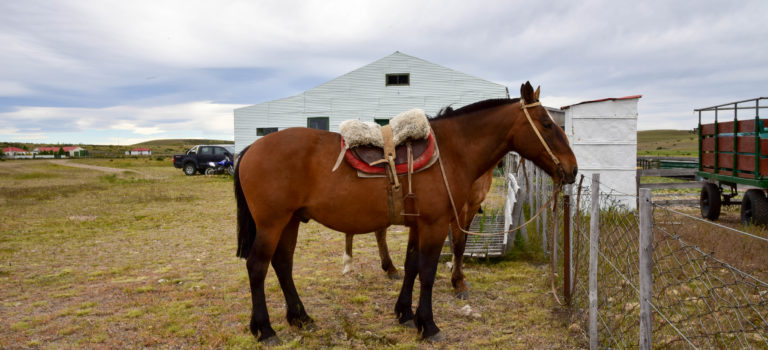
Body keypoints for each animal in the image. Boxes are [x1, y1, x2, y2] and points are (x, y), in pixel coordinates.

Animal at [234, 81, 576, 342]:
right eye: (547, 124)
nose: (572, 169)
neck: (451, 152)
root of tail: (251, 148)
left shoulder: (419, 224)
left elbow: (412, 266)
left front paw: (406, 314)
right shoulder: (436, 224)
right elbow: (427, 271)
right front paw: (430, 325)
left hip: (290, 221)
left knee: (282, 265)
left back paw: (301, 318)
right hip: (272, 223)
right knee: (257, 267)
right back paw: (264, 330)